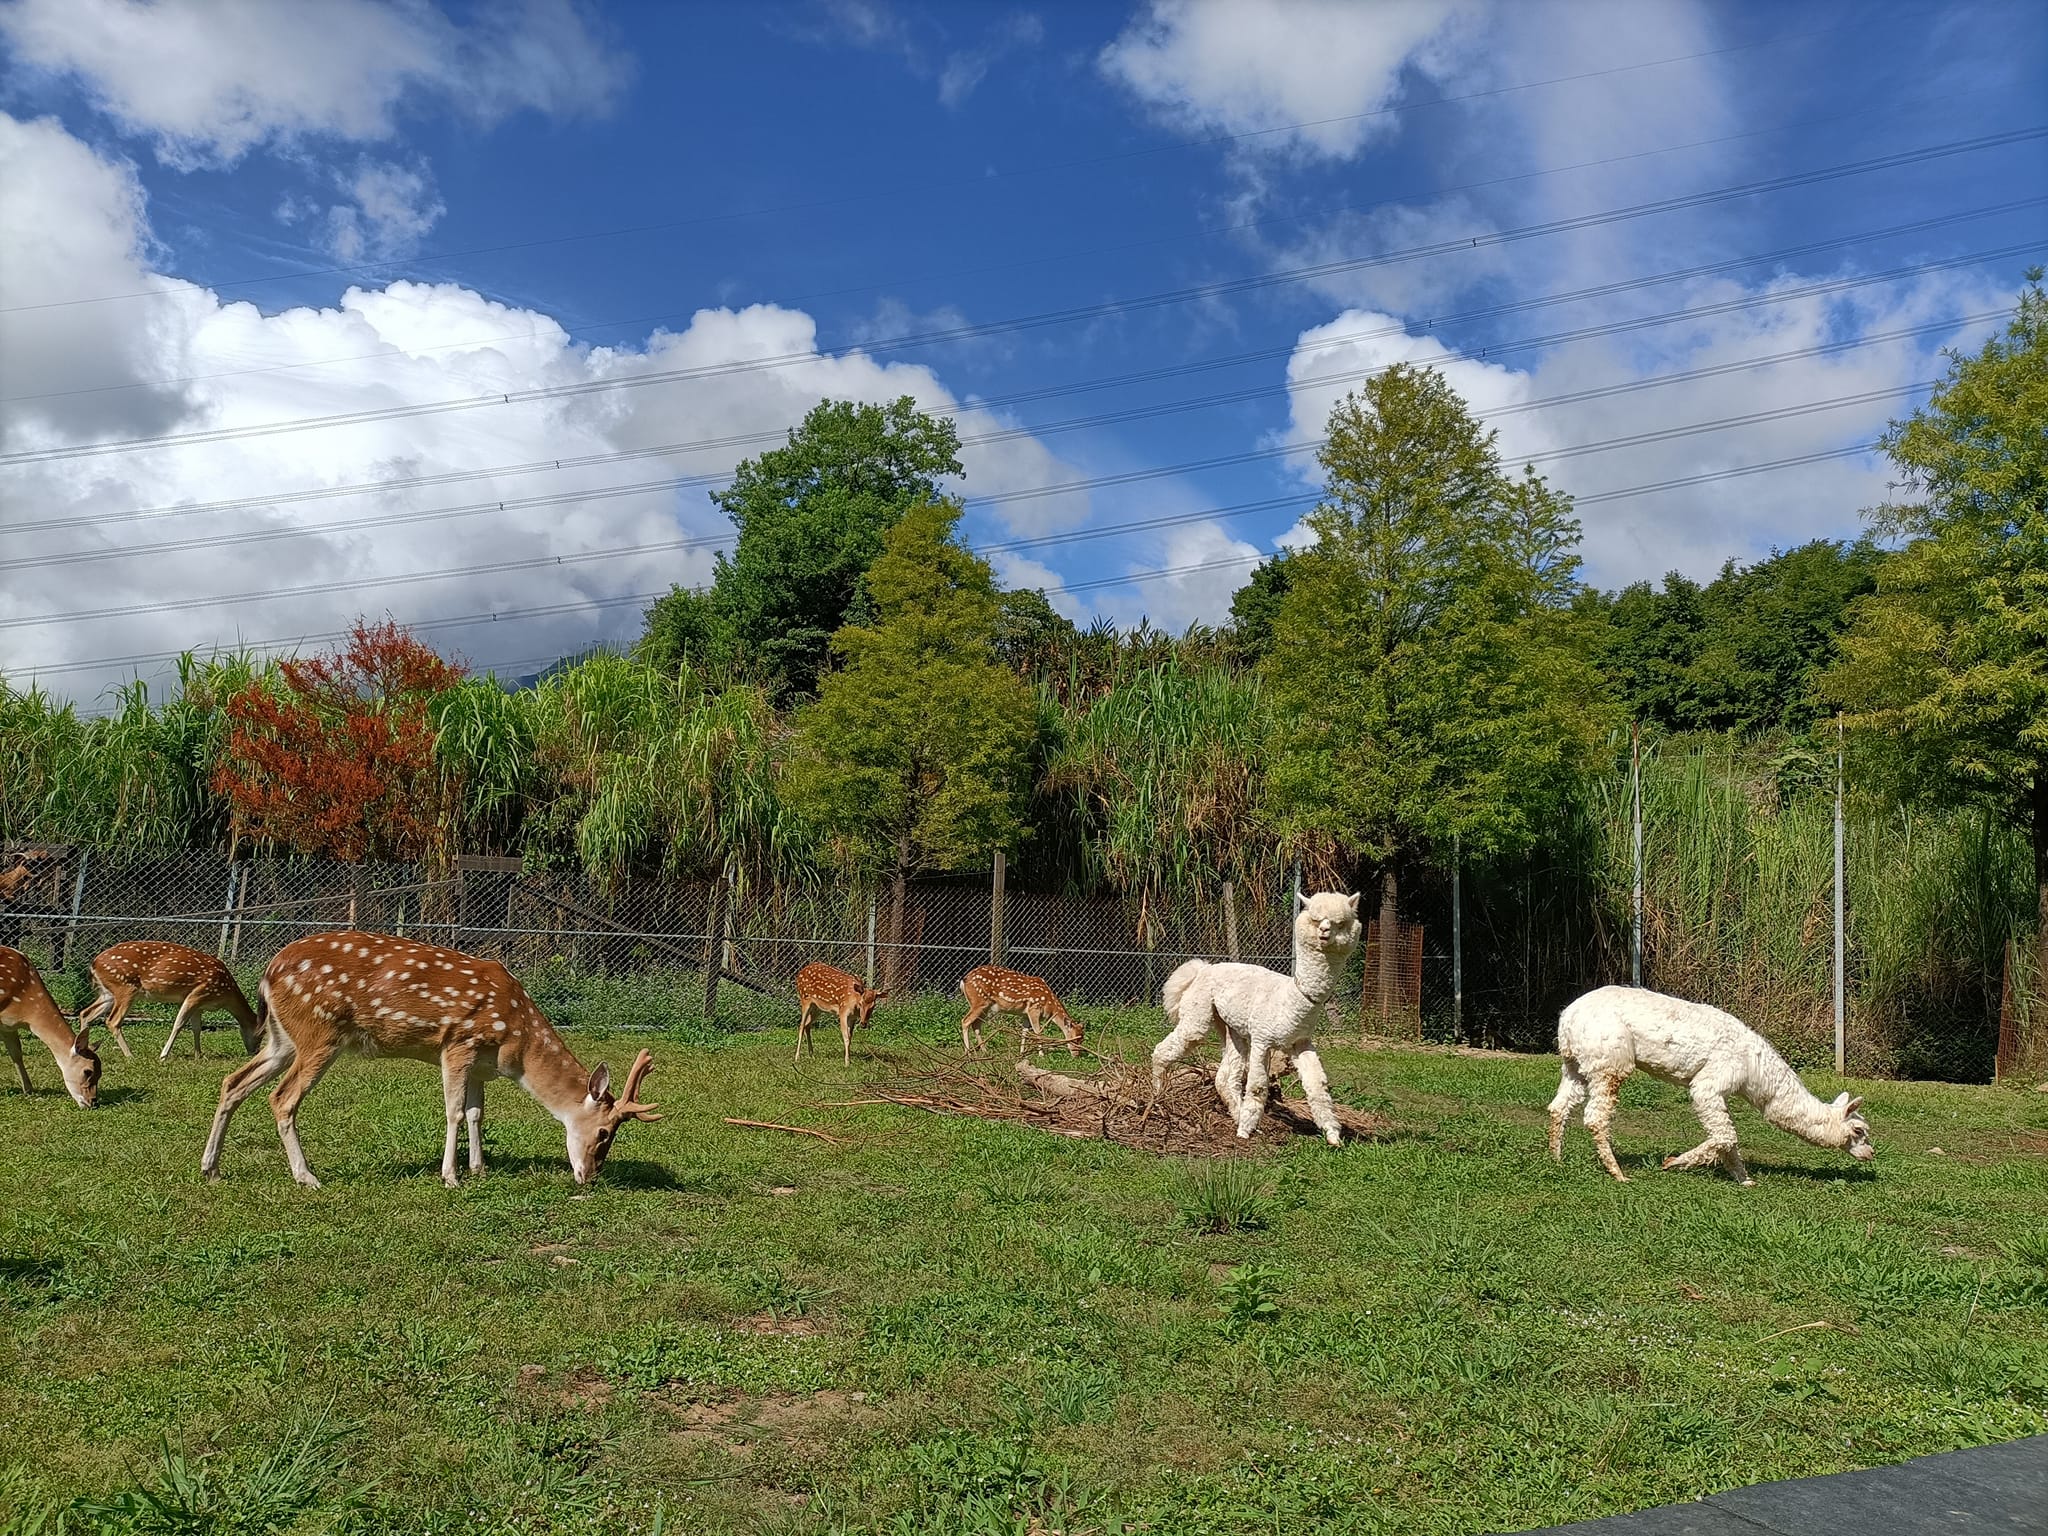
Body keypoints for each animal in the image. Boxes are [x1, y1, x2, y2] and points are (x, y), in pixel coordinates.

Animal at [1, 946, 102, 1108]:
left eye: (101, 1072)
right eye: (88, 1071)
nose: (92, 1101)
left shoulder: (8, 1026)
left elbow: (16, 1053)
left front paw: (29, 1090)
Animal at [79, 940, 262, 1061]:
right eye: (261, 1034)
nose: (255, 1052)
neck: (226, 993)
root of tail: (93, 964)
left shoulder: (199, 1004)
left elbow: (197, 1028)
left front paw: (198, 1055)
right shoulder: (198, 993)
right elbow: (178, 1024)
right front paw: (163, 1055)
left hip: (108, 993)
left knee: (86, 1013)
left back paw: (82, 1050)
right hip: (125, 987)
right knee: (112, 1020)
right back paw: (131, 1055)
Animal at [201, 930, 659, 1190]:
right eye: (604, 1133)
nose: (591, 1176)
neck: (517, 1050)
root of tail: (268, 972)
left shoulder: (480, 1065)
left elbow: (476, 1113)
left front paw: (479, 1169)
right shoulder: (459, 1042)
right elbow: (454, 1111)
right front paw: (451, 1177)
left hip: (282, 1039)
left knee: (233, 1081)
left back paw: (211, 1168)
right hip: (320, 1033)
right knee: (282, 1097)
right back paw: (307, 1177)